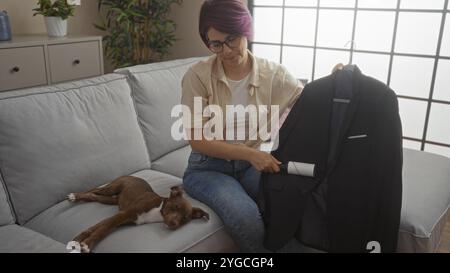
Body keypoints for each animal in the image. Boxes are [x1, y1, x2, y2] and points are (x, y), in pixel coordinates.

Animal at [65, 175, 209, 252]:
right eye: (175, 207)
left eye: (185, 218)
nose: (173, 224)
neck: (157, 212)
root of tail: (133, 175)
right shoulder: (123, 215)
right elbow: (103, 229)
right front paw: (87, 244)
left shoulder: (122, 218)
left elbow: (100, 226)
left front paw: (79, 240)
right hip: (112, 188)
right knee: (95, 190)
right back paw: (75, 196)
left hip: (111, 200)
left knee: (94, 196)